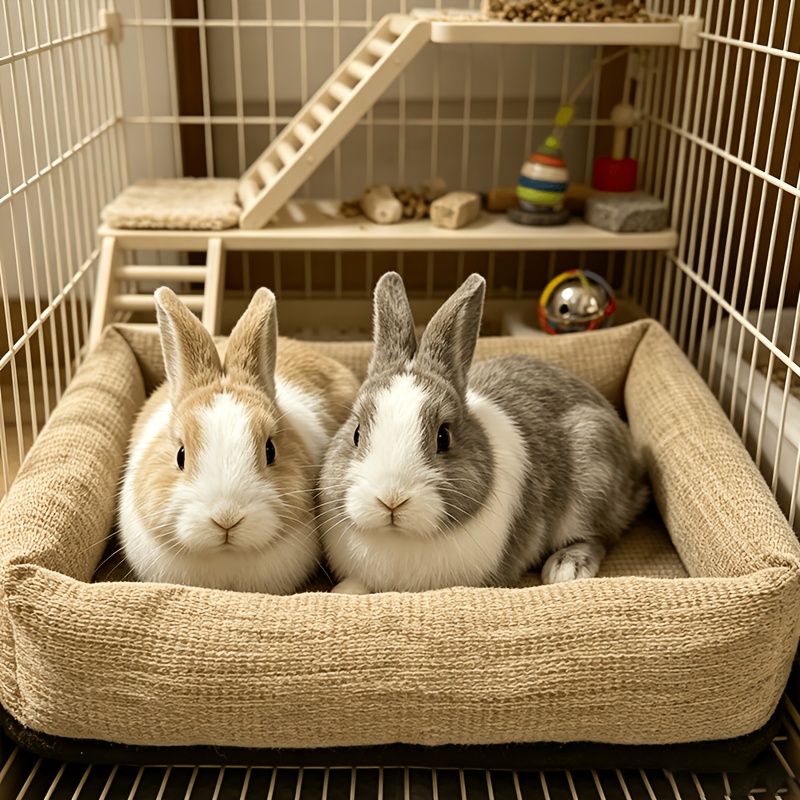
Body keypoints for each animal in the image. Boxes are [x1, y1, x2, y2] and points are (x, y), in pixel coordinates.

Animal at [318, 272, 649, 594]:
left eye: (443, 437)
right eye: (356, 433)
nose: (391, 499)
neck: (400, 538)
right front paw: (341, 593)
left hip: (593, 473)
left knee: (602, 536)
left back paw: (566, 568)